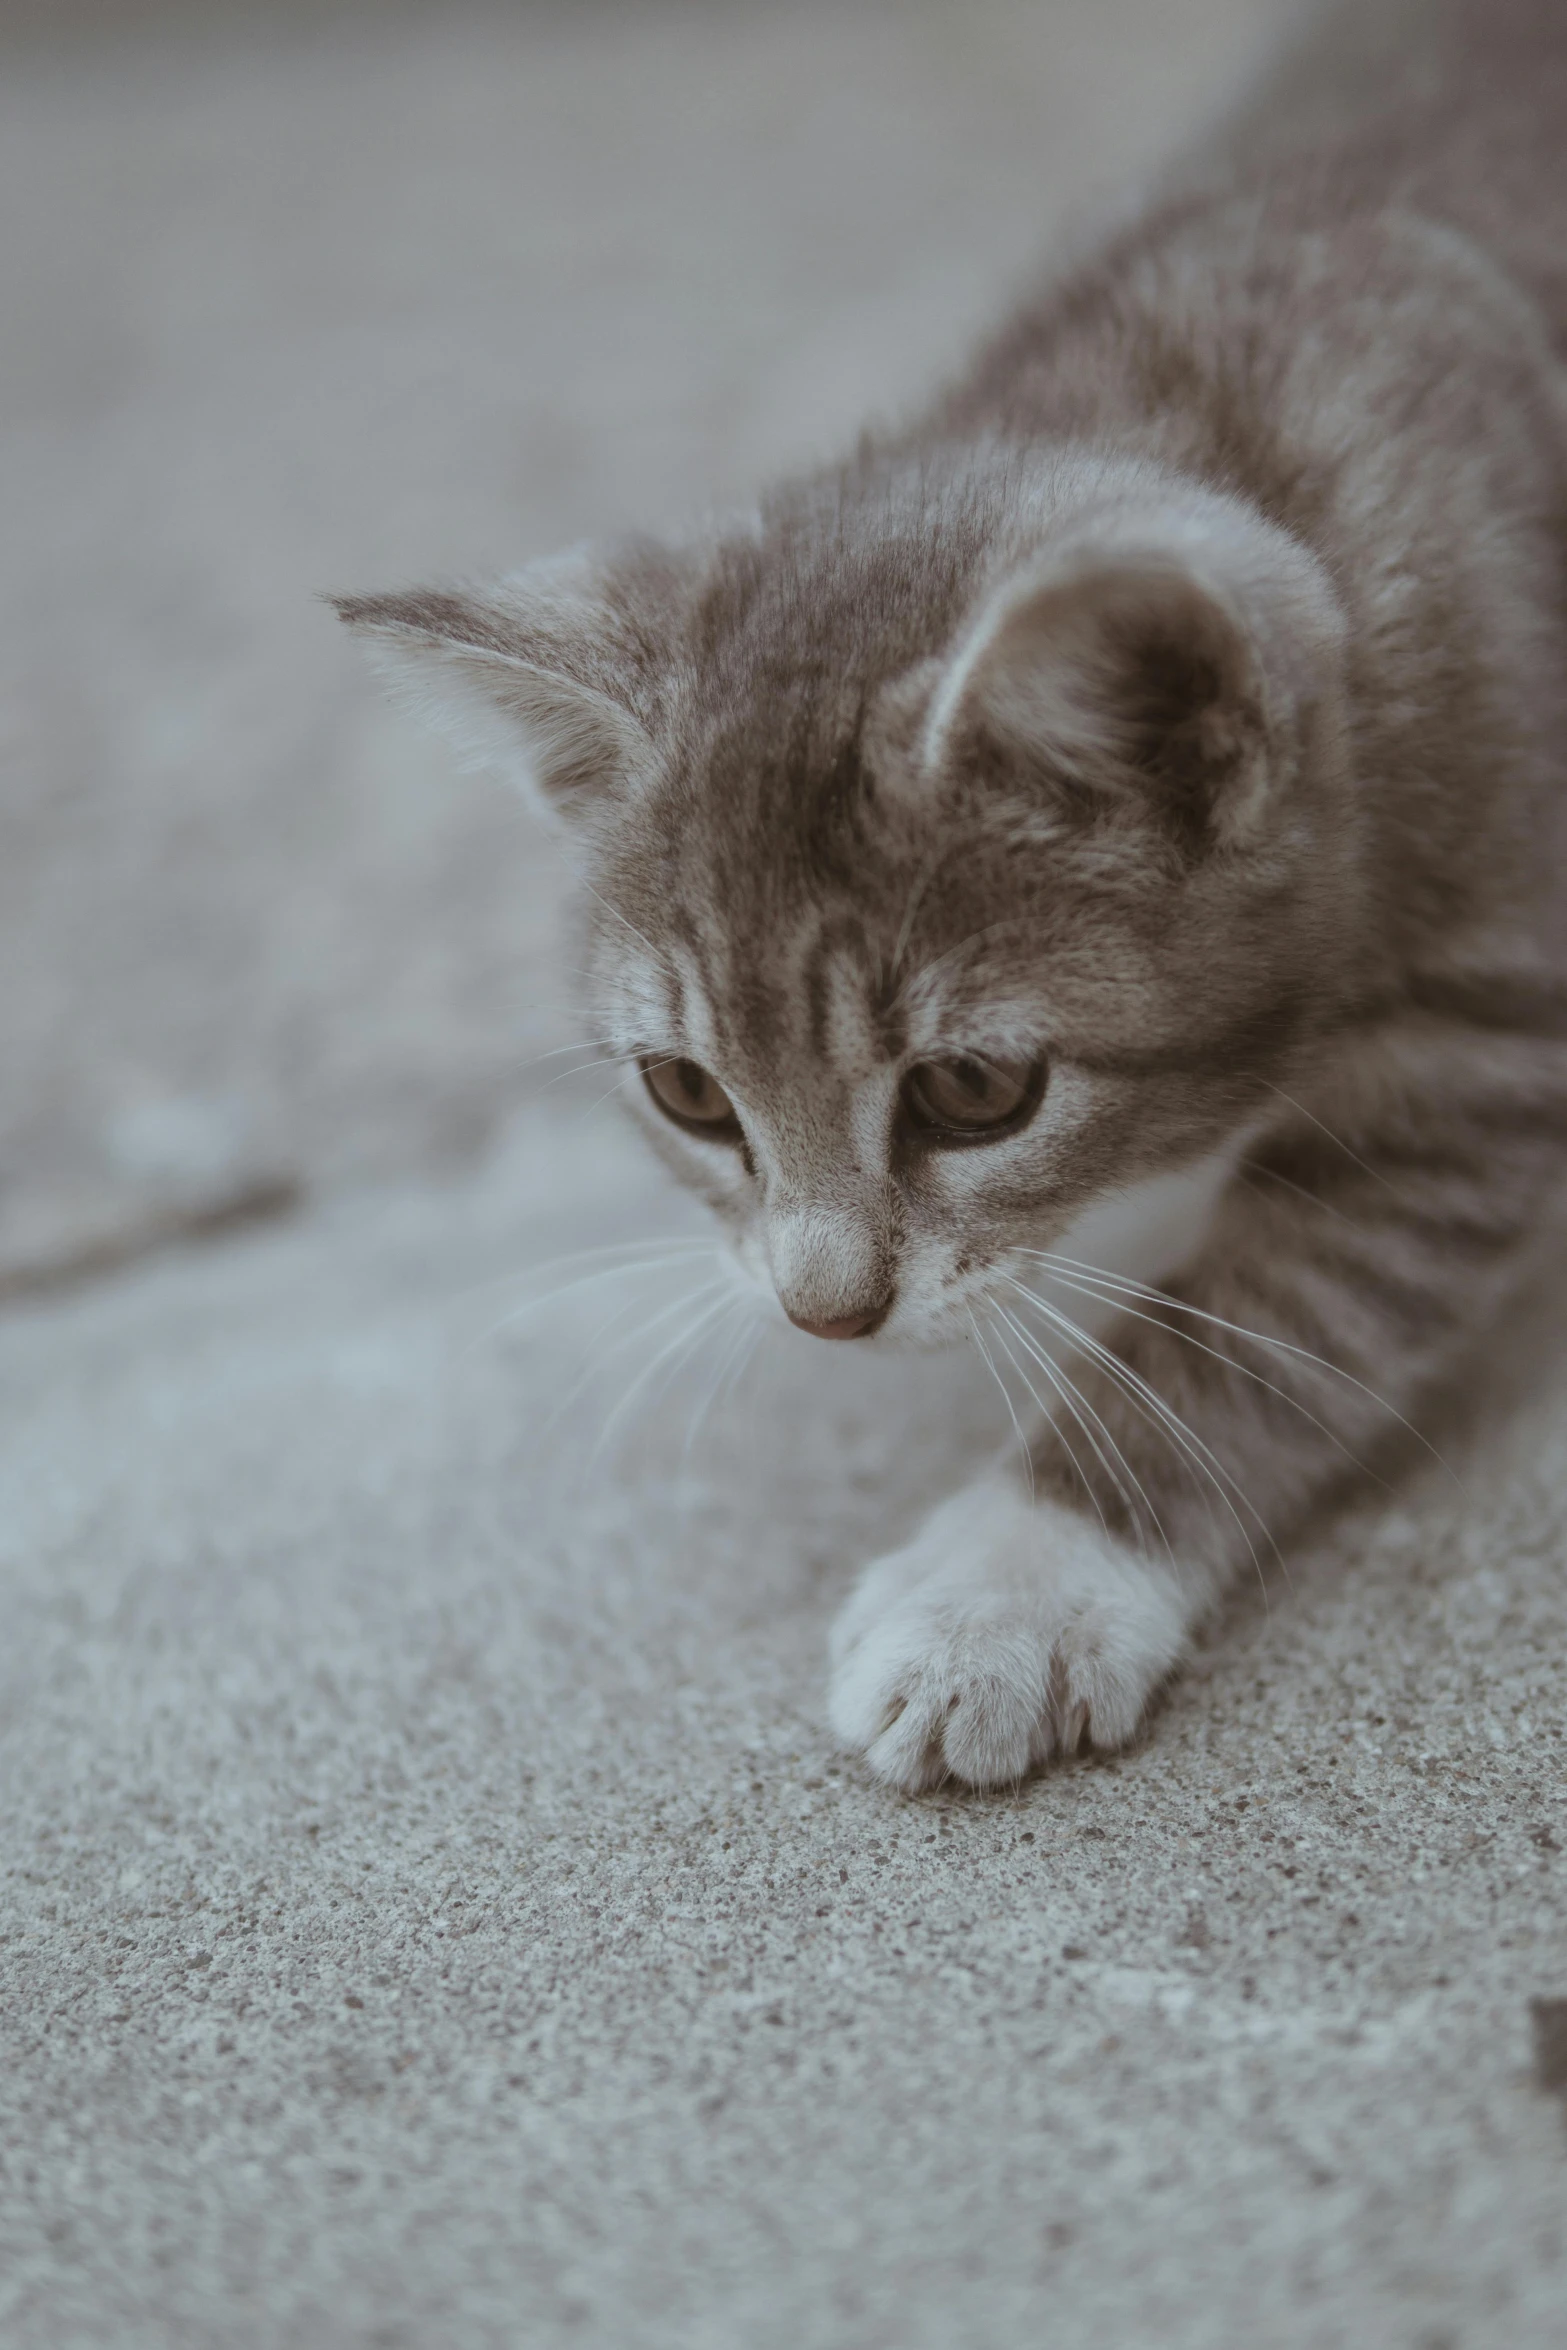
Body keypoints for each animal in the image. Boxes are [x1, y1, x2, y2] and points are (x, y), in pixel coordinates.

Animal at [338, 0, 1567, 1785]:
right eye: (687, 1092)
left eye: (975, 1091)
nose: (821, 1314)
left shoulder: (1478, 1034)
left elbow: (1247, 1322)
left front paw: (1016, 1585)